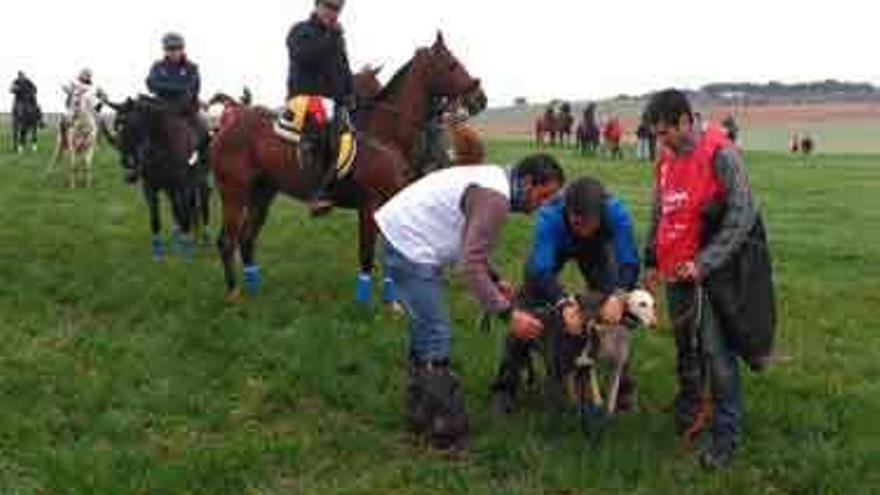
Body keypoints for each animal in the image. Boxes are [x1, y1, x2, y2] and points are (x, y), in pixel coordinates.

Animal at [102, 96, 212, 260]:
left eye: (130, 123)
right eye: (116, 125)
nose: (126, 161)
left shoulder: (182, 186)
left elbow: (185, 212)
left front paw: (186, 249)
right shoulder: (150, 187)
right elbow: (155, 218)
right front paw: (157, 249)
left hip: (200, 180)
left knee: (201, 203)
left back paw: (203, 236)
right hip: (170, 188)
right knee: (178, 208)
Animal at [209, 33, 484, 302]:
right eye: (451, 64)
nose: (480, 98)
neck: (385, 134)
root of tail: (226, 128)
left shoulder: (388, 203)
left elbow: (389, 256)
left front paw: (393, 301)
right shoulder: (369, 206)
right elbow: (366, 254)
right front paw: (363, 301)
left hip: (262, 193)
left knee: (246, 238)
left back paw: (252, 288)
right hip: (234, 193)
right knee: (226, 241)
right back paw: (233, 294)